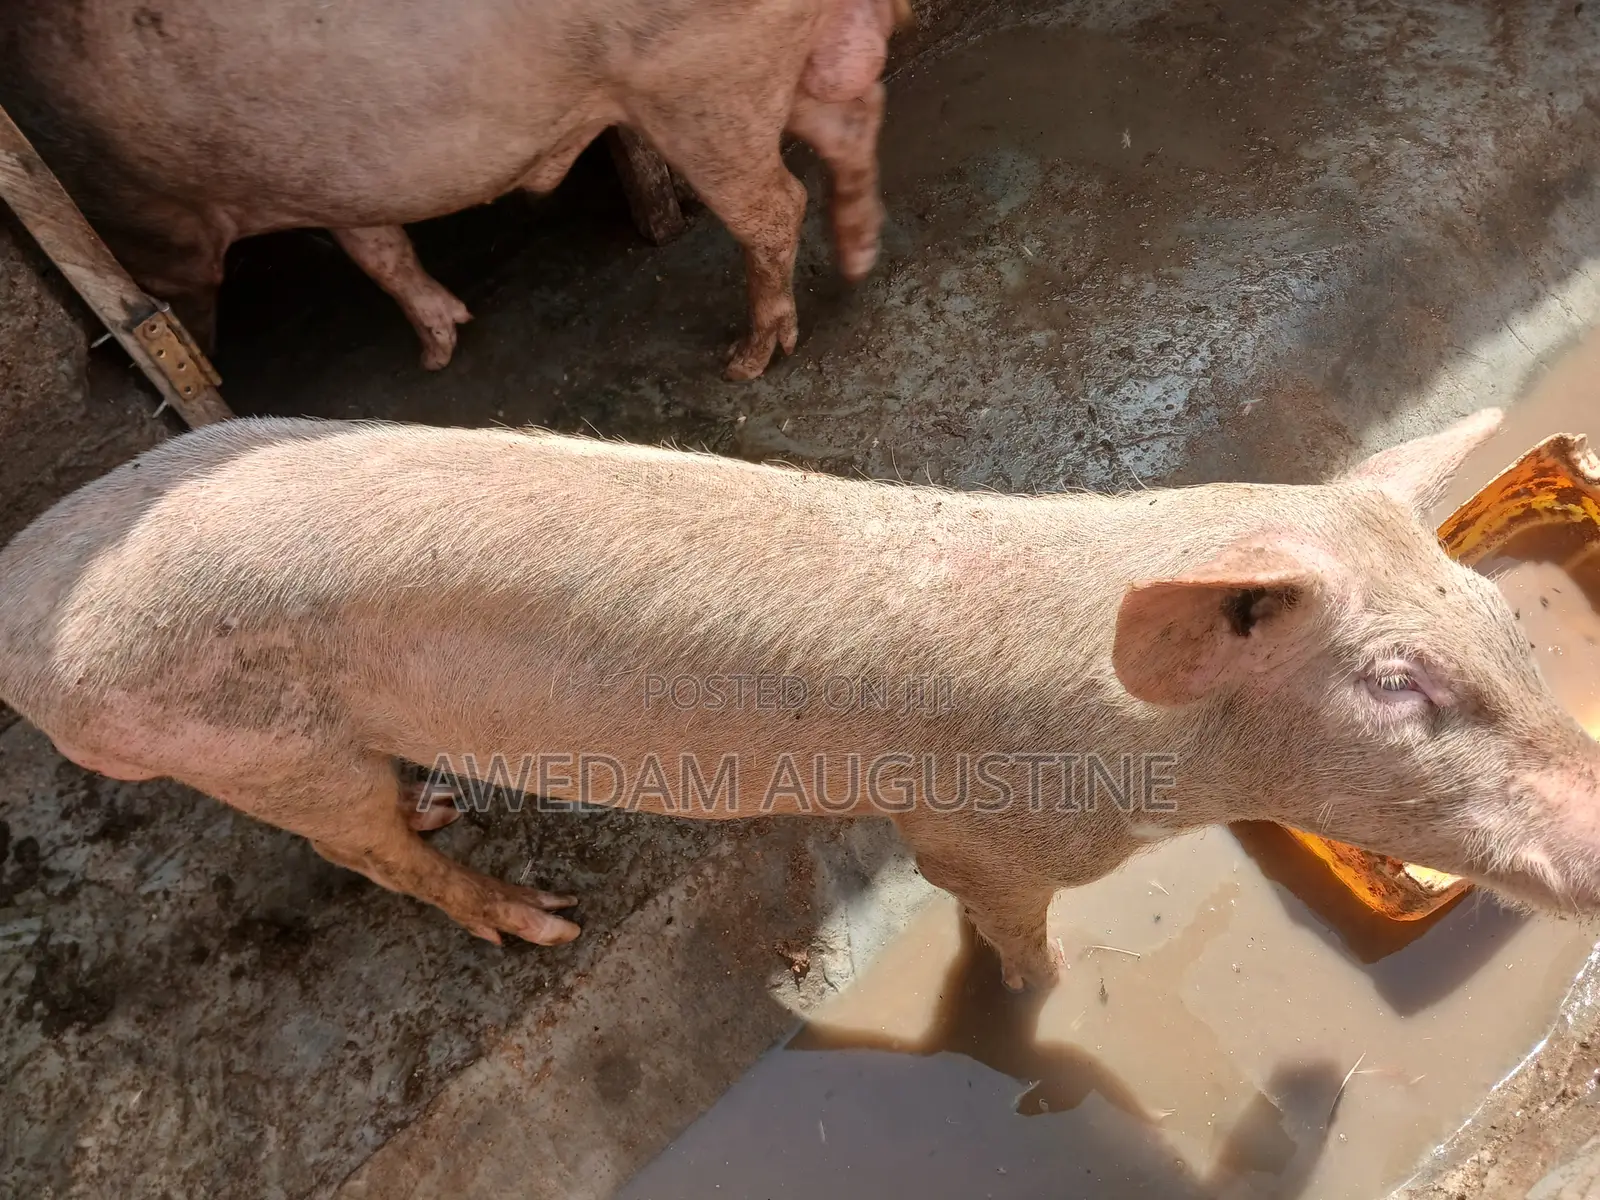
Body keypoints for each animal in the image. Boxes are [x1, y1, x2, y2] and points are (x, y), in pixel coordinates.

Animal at [0, 0, 910, 379]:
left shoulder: (157, 226)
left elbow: (190, 301)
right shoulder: (331, 188)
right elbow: (378, 249)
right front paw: (441, 350)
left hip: (699, 82)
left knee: (775, 204)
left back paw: (745, 364)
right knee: (852, 120)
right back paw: (859, 256)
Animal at [1, 407, 1594, 992]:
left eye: (1499, 618)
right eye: (1396, 684)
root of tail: (23, 591)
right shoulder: (978, 834)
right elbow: (1007, 932)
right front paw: (1059, 995)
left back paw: (447, 798)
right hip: (219, 733)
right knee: (363, 852)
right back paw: (535, 918)